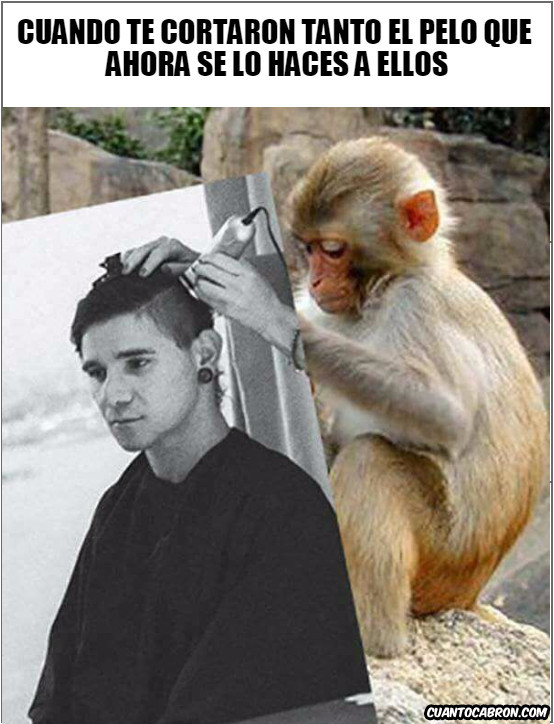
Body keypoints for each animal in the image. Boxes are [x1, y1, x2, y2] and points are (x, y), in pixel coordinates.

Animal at [286, 137, 548, 657]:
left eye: (333, 250)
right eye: (308, 250)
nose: (315, 281)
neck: (377, 293)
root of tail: (467, 596)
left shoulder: (419, 305)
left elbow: (447, 416)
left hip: (442, 557)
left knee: (370, 462)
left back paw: (372, 640)